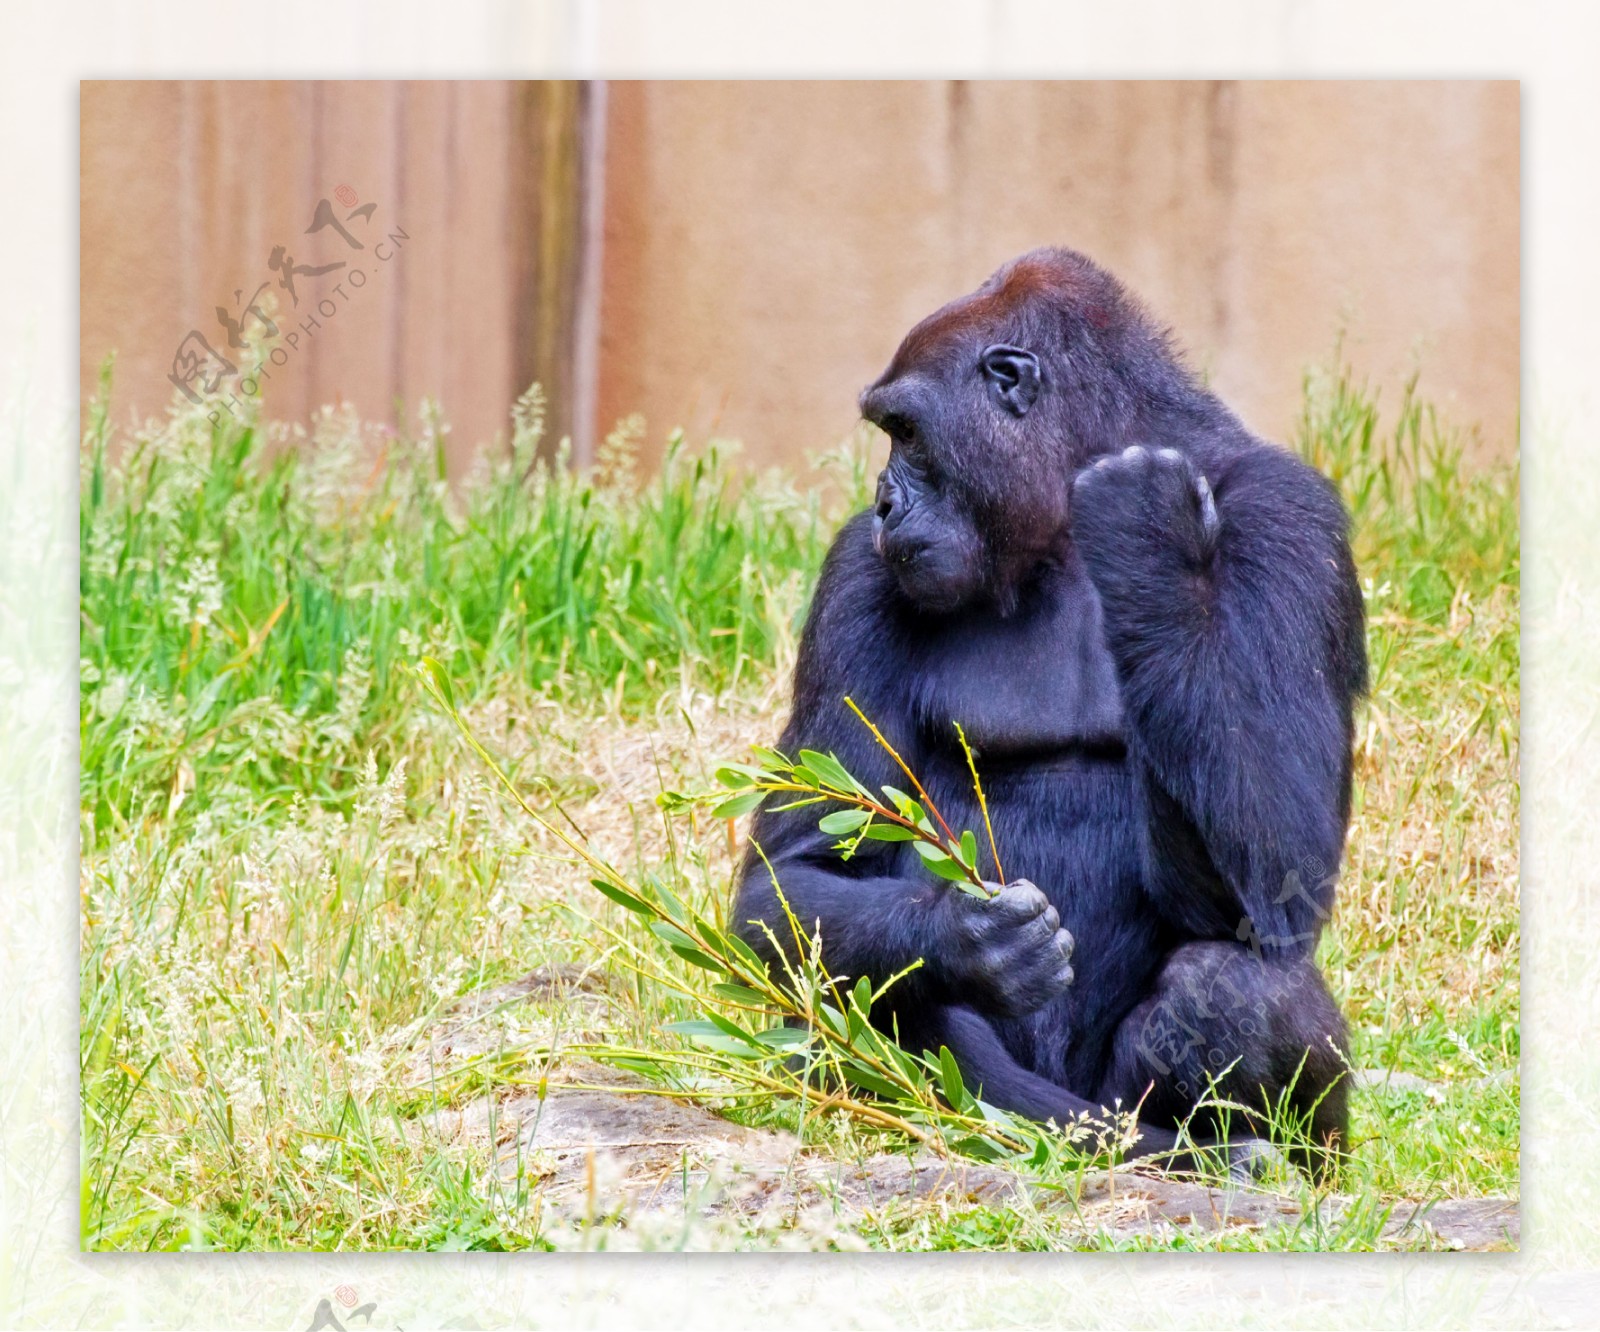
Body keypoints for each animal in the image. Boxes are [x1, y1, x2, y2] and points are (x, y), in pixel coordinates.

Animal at [732, 244, 1369, 1171]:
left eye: (907, 433)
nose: (884, 502)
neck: (1060, 528)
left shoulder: (1292, 519)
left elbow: (1278, 869)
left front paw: (1147, 529)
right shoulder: (857, 568)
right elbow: (790, 877)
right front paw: (965, 939)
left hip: (1126, 1117)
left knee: (1234, 985)